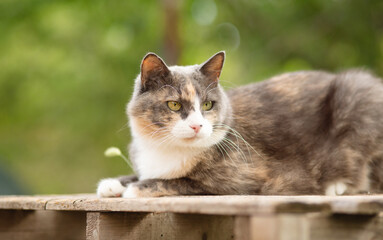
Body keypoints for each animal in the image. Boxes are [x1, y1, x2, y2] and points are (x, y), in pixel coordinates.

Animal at [97, 51, 383, 198]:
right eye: (175, 105)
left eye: (208, 105)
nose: (198, 126)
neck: (167, 148)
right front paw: (114, 183)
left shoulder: (244, 181)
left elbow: (182, 182)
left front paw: (136, 188)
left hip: (356, 93)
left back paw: (338, 185)